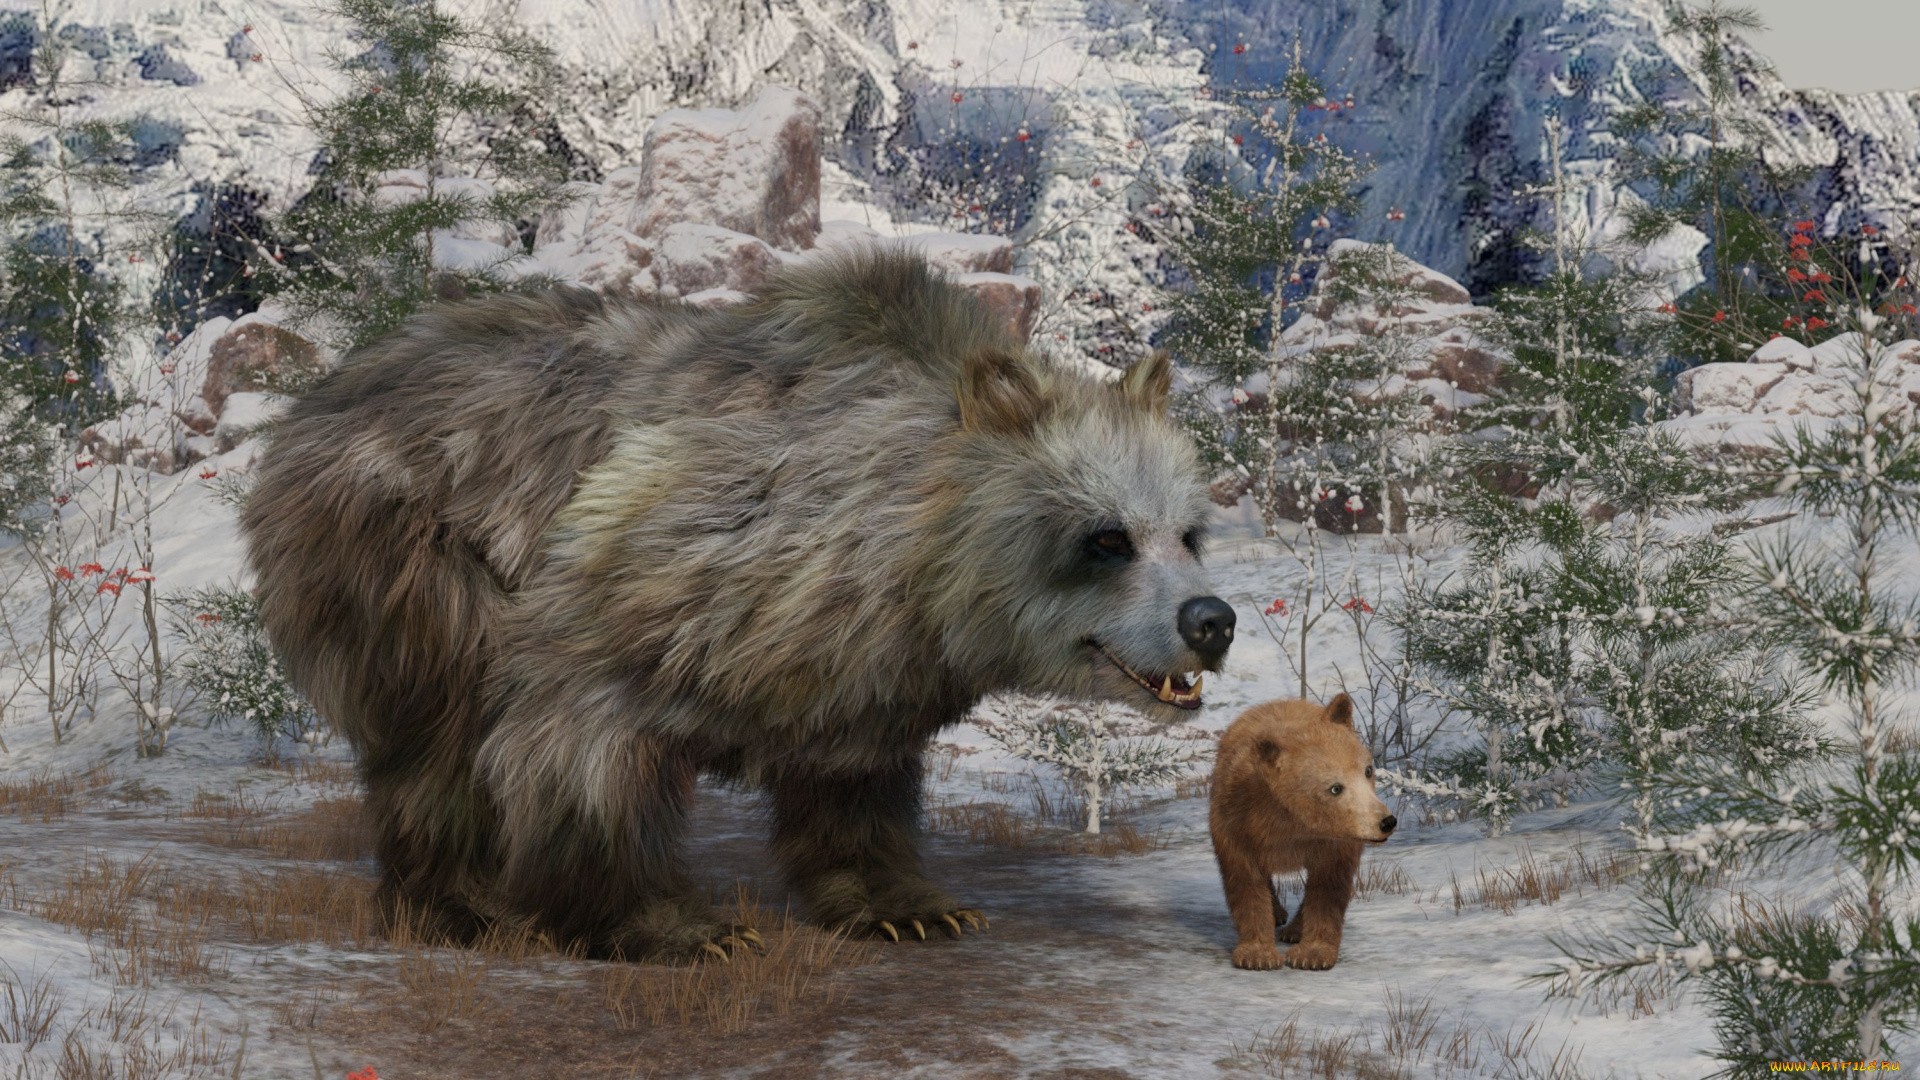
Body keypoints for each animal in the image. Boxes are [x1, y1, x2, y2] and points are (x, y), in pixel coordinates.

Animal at [241, 250, 1239, 960]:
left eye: (1189, 530)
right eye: (1106, 537)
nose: (1212, 623)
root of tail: (324, 394)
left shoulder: (860, 659)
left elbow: (854, 782)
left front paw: (908, 907)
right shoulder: (659, 573)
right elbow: (583, 746)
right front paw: (677, 925)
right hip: (415, 550)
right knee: (441, 736)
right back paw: (462, 905)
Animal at [1208, 694, 1396, 971]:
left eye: (1368, 770)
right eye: (1335, 788)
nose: (1386, 821)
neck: (1293, 822)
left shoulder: (1333, 841)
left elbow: (1328, 887)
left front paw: (1312, 953)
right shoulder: (1237, 823)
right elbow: (1246, 881)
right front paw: (1257, 954)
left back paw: (1294, 929)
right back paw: (1277, 914)